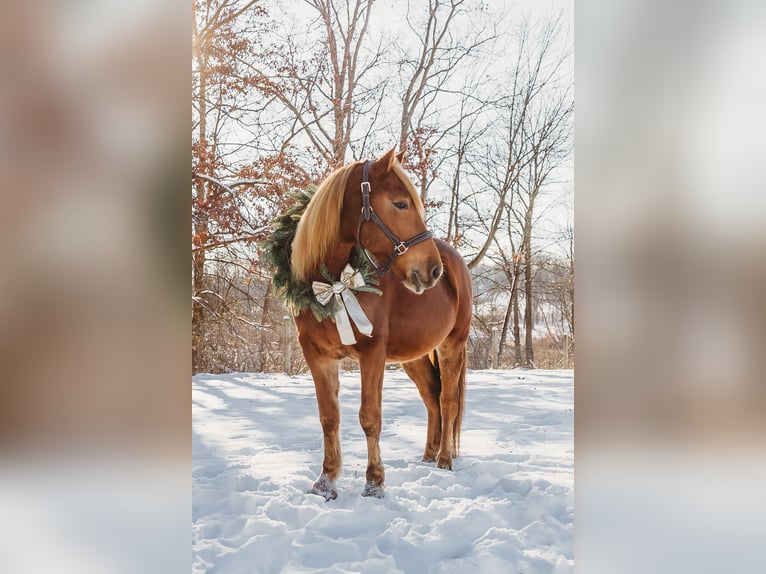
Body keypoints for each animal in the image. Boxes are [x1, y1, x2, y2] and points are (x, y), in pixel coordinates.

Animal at [289, 147, 472, 500]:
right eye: (400, 203)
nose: (433, 270)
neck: (334, 284)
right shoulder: (316, 353)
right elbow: (329, 416)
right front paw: (326, 482)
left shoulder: (371, 352)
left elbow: (370, 417)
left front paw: (374, 482)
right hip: (414, 357)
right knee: (432, 399)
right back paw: (428, 454)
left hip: (452, 345)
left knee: (447, 401)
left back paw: (443, 460)